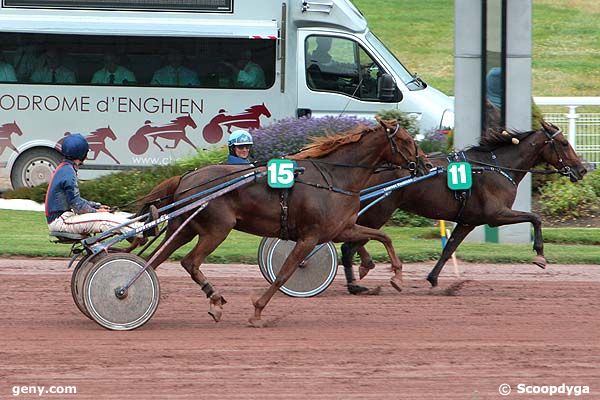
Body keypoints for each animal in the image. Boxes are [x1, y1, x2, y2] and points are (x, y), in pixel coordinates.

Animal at [141, 118, 428, 324]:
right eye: (405, 140)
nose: (424, 164)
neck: (334, 179)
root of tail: (186, 178)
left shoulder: (341, 229)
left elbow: (383, 236)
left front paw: (394, 276)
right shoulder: (310, 236)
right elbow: (284, 273)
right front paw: (257, 312)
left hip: (184, 229)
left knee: (153, 261)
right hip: (217, 230)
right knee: (189, 262)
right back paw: (214, 300)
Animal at [342, 120, 584, 292]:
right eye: (564, 143)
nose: (582, 170)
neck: (497, 167)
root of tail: (375, 167)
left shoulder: (468, 221)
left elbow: (449, 248)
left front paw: (433, 279)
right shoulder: (496, 215)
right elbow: (535, 218)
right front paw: (540, 256)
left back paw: (364, 267)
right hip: (380, 211)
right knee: (349, 243)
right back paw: (355, 282)